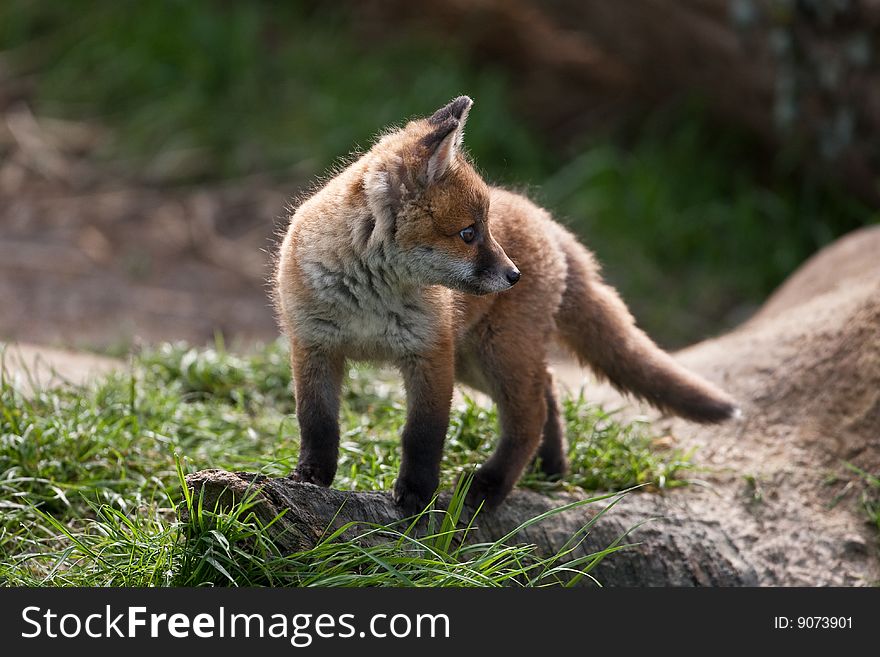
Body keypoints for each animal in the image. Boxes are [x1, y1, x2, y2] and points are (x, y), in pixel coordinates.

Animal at [274, 96, 736, 508]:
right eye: (468, 233)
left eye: (487, 229)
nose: (514, 276)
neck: (370, 298)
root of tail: (546, 220)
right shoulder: (314, 346)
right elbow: (317, 422)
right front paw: (311, 476)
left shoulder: (429, 355)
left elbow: (423, 434)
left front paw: (417, 494)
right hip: (476, 362)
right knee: (548, 390)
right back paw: (551, 467)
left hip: (496, 355)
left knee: (530, 415)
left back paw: (491, 486)